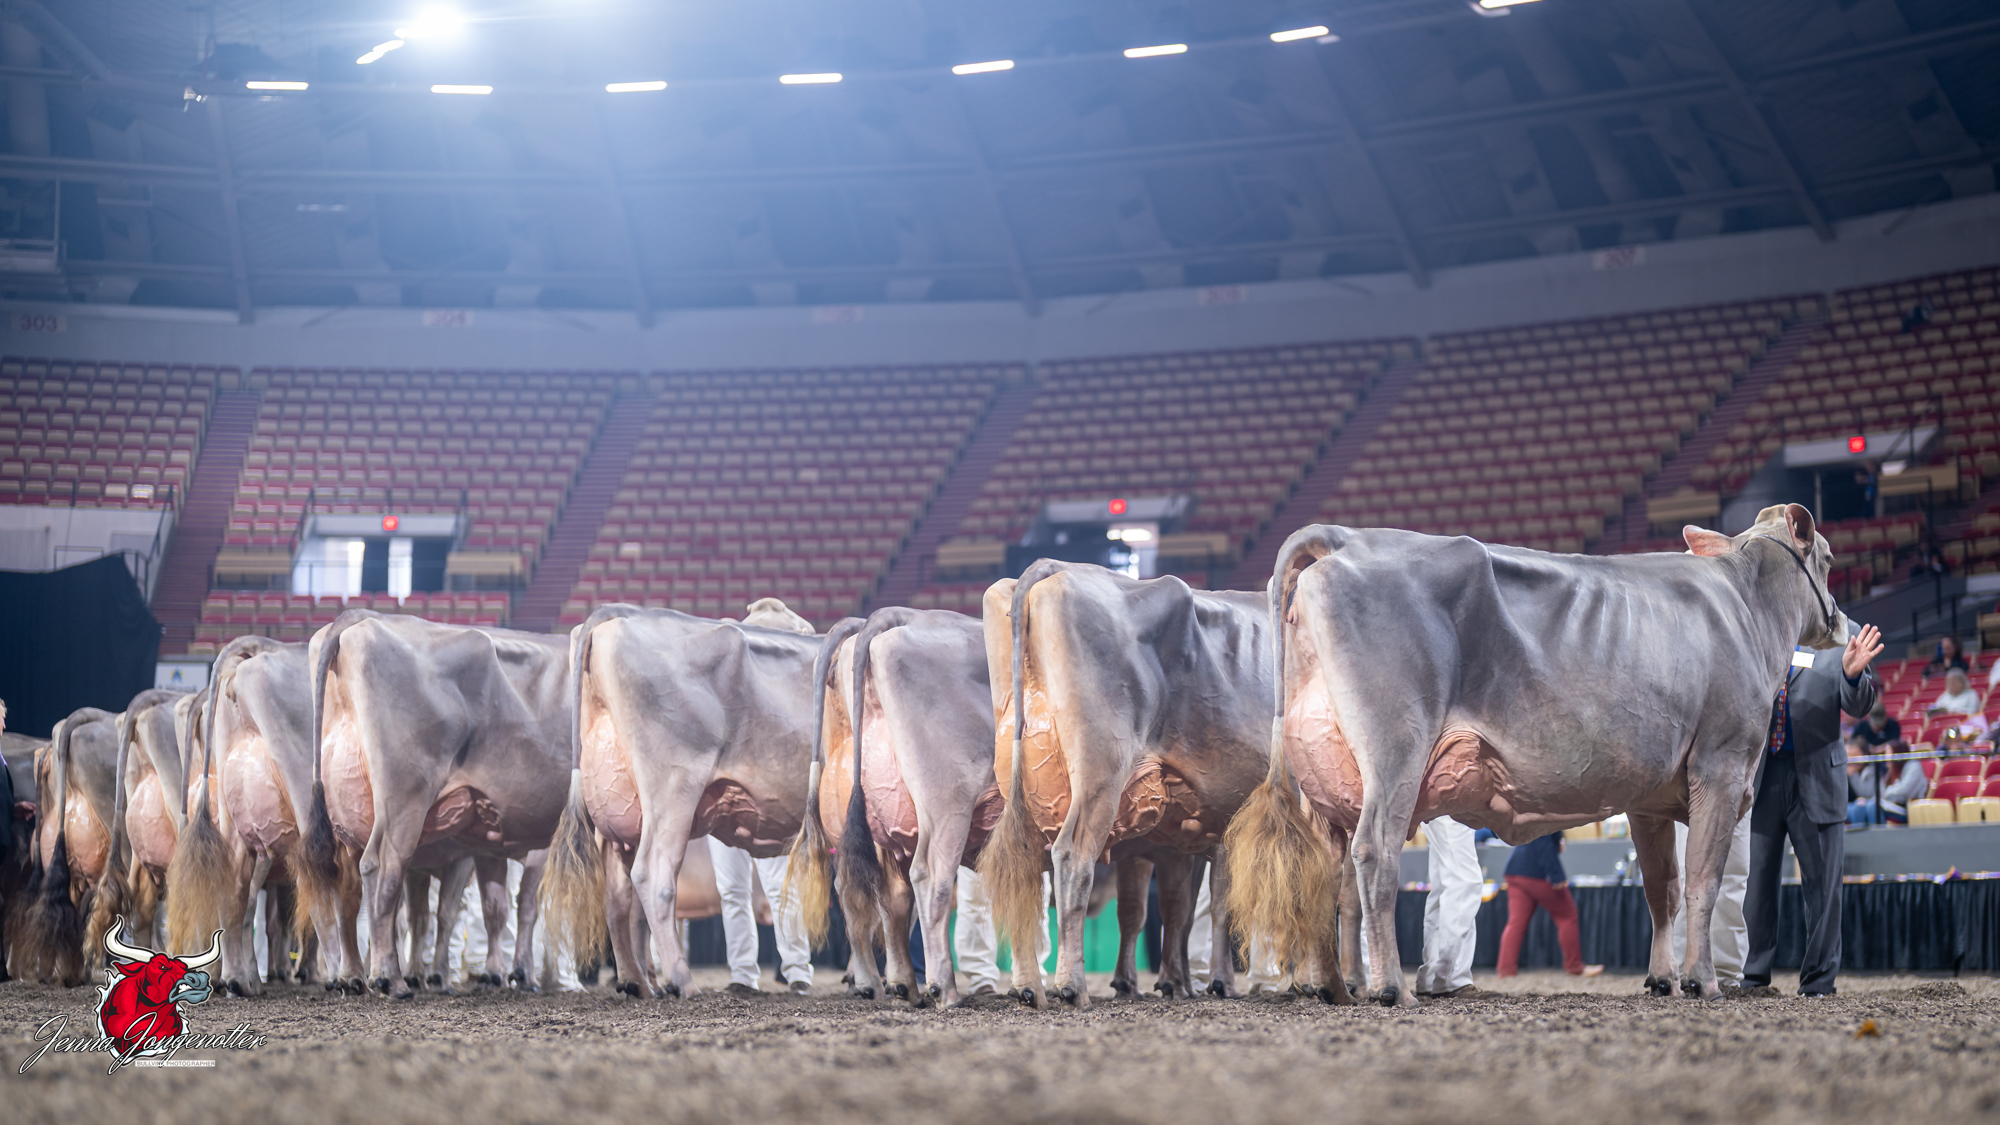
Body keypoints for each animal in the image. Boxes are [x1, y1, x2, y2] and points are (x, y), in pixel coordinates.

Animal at [308, 611, 563, 998]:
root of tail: (365, 617)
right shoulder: (521, 851)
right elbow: (520, 909)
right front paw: (519, 973)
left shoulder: (485, 848)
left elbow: (491, 908)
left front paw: (494, 972)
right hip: (403, 802)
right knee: (382, 872)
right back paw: (390, 977)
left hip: (346, 813)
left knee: (348, 888)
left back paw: (352, 976)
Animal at [543, 598, 817, 999]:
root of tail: (617, 612)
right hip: (673, 786)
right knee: (653, 877)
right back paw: (681, 981)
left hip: (618, 812)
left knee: (618, 895)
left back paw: (637, 982)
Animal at [789, 607, 1008, 1007]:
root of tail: (896, 614)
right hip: (946, 801)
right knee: (930, 880)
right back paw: (942, 988)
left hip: (877, 821)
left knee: (871, 890)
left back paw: (883, 982)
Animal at [975, 562, 1306, 1010]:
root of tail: (1056, 567)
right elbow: (1217, 904)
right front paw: (1216, 981)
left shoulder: (1183, 840)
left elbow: (1172, 908)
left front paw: (1174, 981)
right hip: (1100, 774)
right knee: (1073, 859)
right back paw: (1072, 984)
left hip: (1025, 786)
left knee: (1024, 871)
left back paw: (1029, 986)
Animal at [1226, 505, 1853, 1007]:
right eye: (1827, 558)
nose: (1841, 620)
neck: (1745, 606)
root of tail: (1346, 538)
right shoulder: (1722, 765)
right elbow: (1702, 880)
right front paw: (1703, 981)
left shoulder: (1649, 796)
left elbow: (1663, 890)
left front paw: (1662, 979)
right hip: (1394, 745)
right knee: (1374, 855)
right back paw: (1391, 988)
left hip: (1325, 772)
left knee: (1327, 873)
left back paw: (1333, 986)